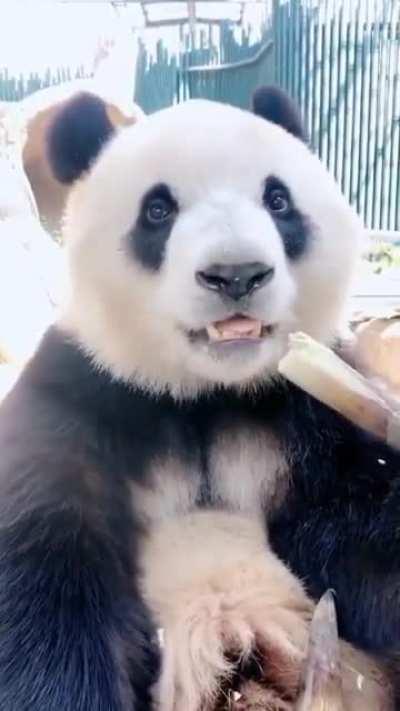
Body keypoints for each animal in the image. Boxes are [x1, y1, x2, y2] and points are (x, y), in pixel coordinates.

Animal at [0, 86, 399, 711]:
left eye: (278, 200)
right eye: (158, 210)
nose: (237, 274)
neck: (205, 395)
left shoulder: (311, 412)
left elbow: (365, 527)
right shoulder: (80, 397)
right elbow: (45, 576)